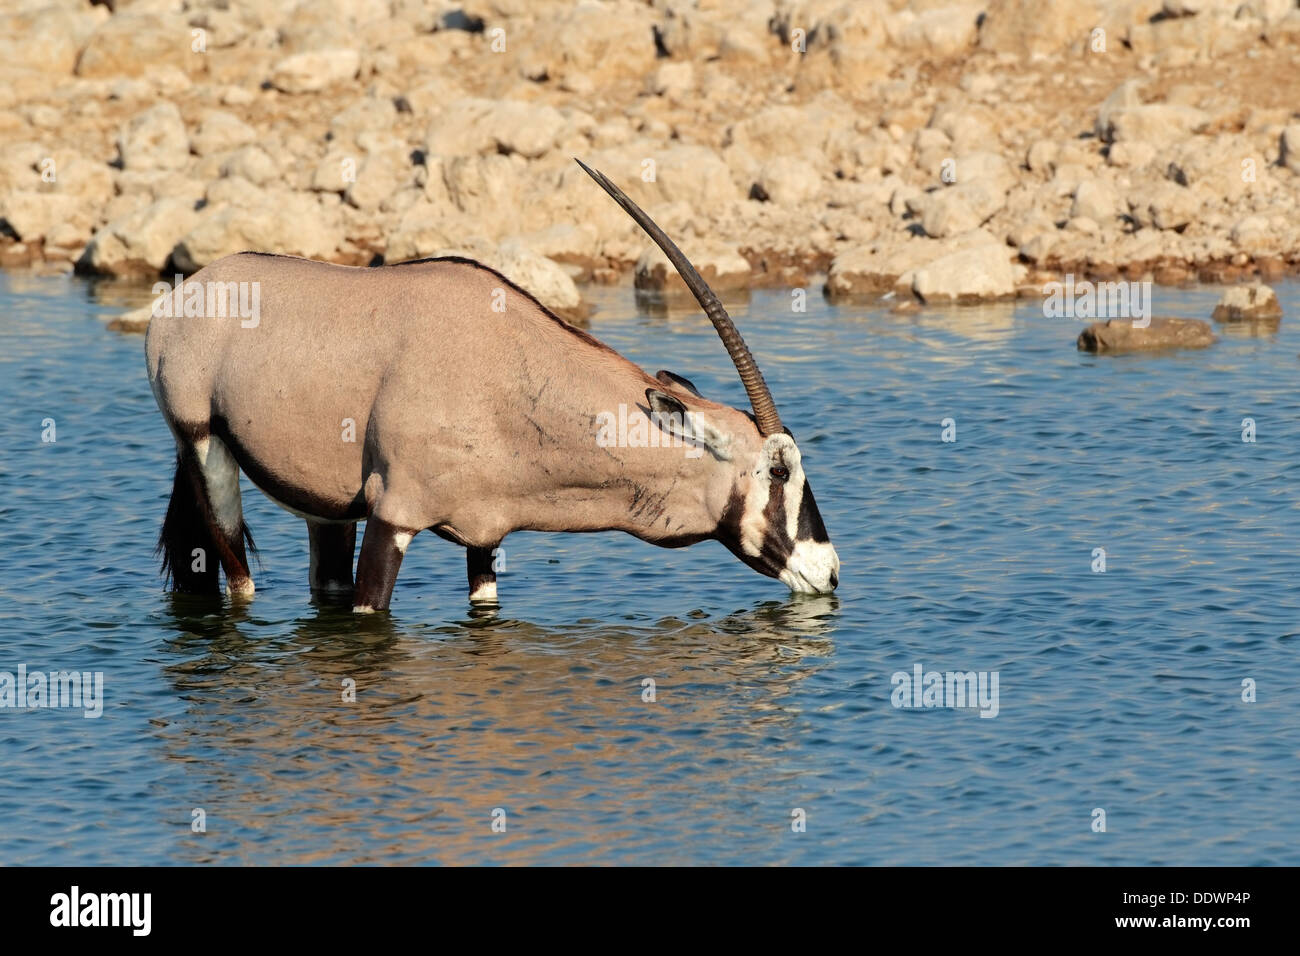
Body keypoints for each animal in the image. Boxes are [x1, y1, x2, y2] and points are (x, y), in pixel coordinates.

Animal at [149, 159, 842, 608]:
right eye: (778, 470)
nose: (830, 572)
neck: (506, 374)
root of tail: (191, 292)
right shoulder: (395, 515)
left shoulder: (484, 536)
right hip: (203, 445)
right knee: (238, 576)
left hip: (326, 505)